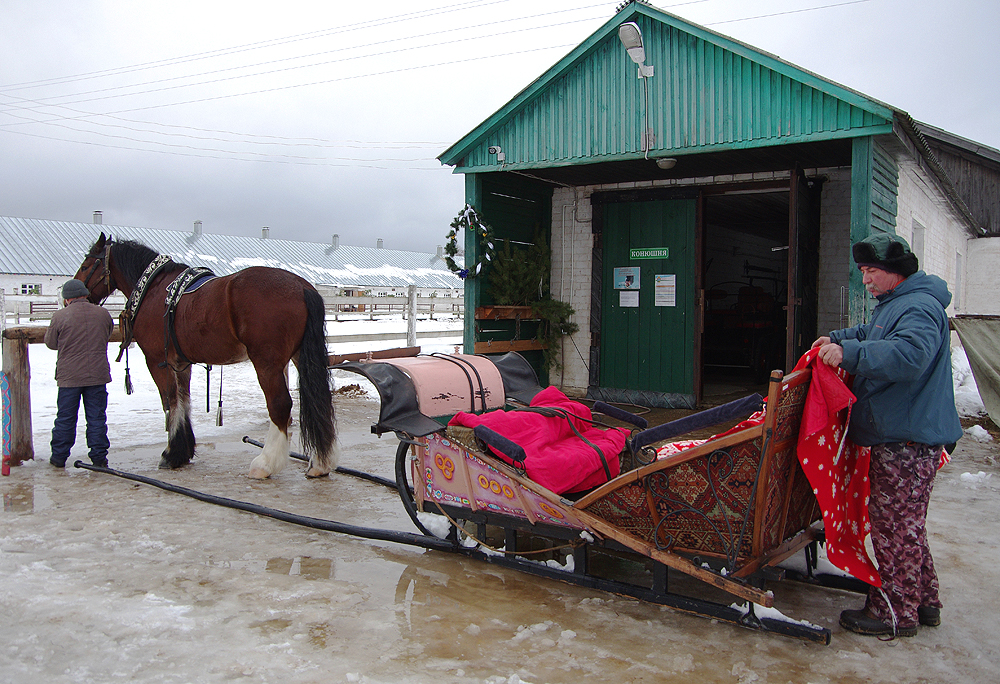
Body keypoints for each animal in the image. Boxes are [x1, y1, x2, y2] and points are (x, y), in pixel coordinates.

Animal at [72, 232, 336, 478]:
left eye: (86, 265)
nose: (70, 296)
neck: (153, 290)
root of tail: (301, 287)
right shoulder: (181, 364)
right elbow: (184, 401)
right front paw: (184, 452)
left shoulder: (158, 362)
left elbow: (170, 402)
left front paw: (171, 454)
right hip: (298, 358)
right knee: (318, 401)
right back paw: (319, 464)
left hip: (267, 363)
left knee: (280, 405)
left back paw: (264, 464)